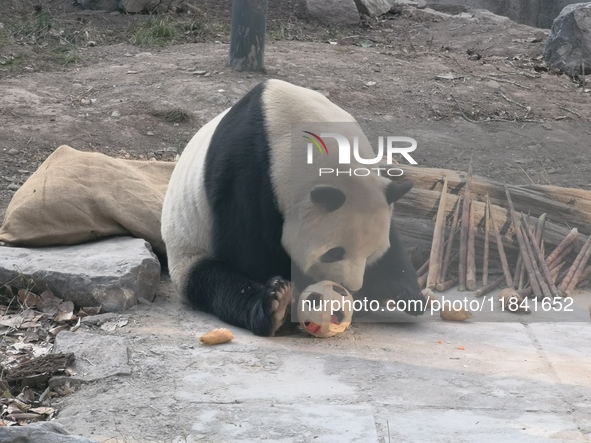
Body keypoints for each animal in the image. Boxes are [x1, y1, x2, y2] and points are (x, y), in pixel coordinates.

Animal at [162, 79, 426, 336]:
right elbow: (249, 250)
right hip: (187, 252)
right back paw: (275, 307)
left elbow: (392, 242)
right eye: (334, 253)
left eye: (371, 253)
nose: (349, 287)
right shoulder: (247, 174)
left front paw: (407, 293)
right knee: (218, 285)